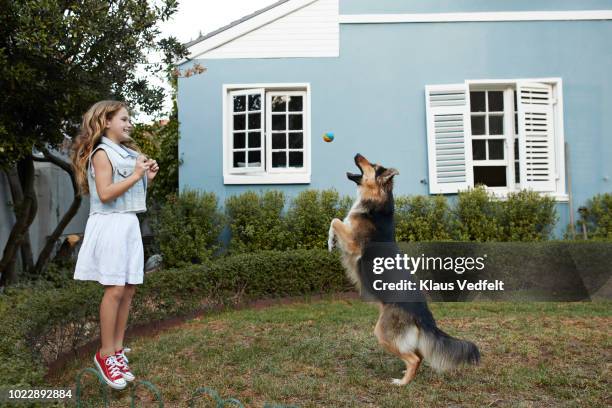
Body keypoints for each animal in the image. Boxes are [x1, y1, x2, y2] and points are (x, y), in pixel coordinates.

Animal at [328, 154, 480, 386]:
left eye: (373, 166)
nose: (356, 154)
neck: (377, 200)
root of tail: (424, 314)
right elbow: (335, 221)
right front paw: (331, 241)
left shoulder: (353, 243)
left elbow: (335, 220)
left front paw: (330, 241)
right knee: (418, 356)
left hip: (383, 332)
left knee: (414, 359)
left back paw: (402, 383)